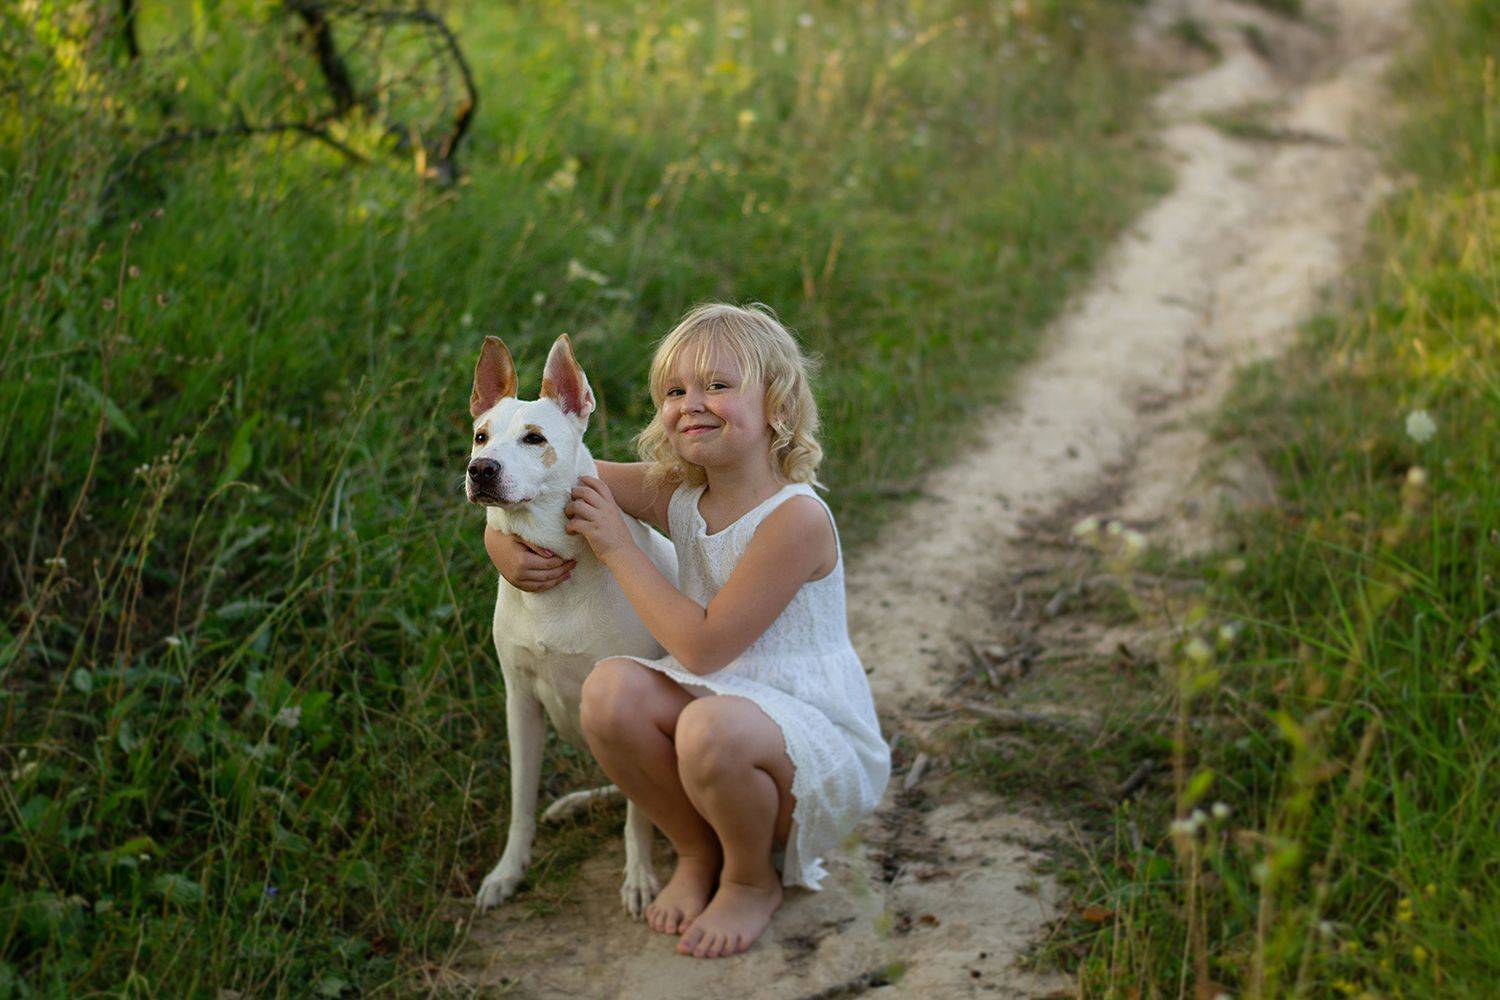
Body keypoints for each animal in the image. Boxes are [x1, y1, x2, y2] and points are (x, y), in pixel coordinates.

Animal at [466, 333, 678, 915]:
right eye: (480, 436)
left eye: (534, 439)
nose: (480, 470)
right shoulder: (519, 702)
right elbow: (521, 801)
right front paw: (508, 871)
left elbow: (638, 818)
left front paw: (638, 874)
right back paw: (580, 802)